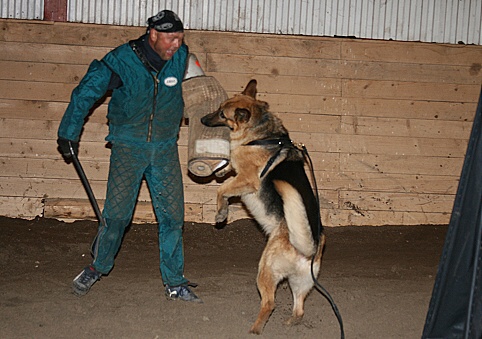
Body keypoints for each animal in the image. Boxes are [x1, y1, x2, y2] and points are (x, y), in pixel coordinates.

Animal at [201, 81, 326, 336]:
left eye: (222, 114)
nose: (202, 120)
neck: (262, 133)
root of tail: (309, 247)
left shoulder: (248, 180)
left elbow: (223, 190)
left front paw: (221, 213)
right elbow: (228, 170)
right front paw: (220, 169)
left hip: (265, 270)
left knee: (269, 304)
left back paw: (255, 329)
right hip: (300, 283)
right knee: (299, 309)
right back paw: (290, 323)